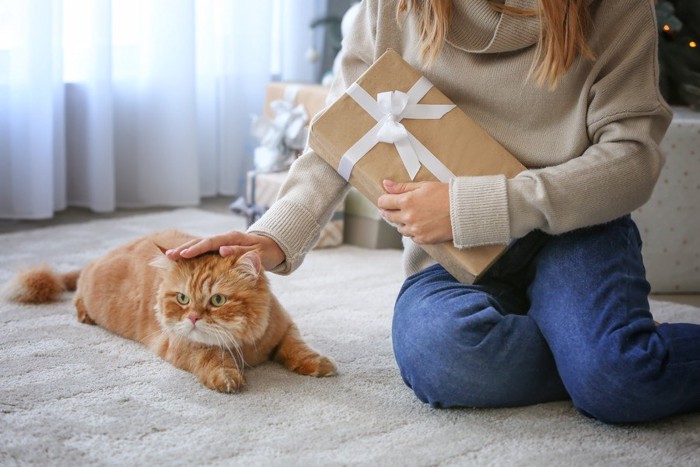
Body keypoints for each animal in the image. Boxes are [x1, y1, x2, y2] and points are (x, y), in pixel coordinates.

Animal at [3, 230, 336, 392]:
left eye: (217, 300)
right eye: (183, 298)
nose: (193, 317)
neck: (245, 346)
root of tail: (101, 256)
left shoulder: (285, 329)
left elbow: (297, 348)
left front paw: (317, 364)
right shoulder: (182, 345)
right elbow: (212, 358)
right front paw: (226, 376)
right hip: (90, 290)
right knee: (76, 296)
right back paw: (83, 314)